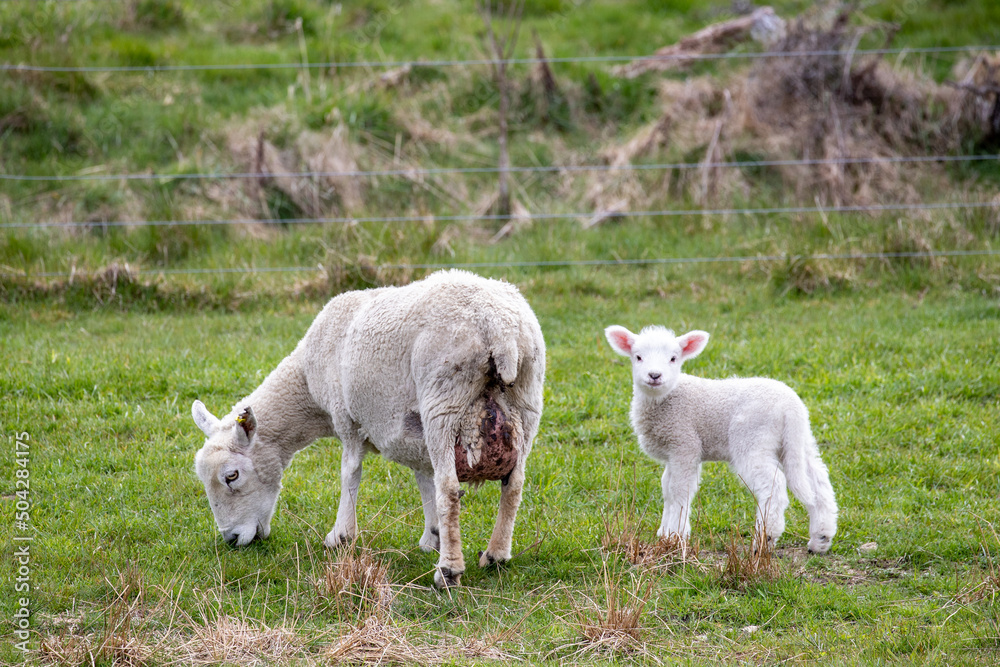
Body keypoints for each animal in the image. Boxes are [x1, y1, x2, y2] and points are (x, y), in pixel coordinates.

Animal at [192, 270, 546, 588]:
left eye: (232, 476)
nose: (231, 539)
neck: (307, 386)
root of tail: (500, 329)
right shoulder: (412, 432)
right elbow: (424, 479)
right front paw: (431, 537)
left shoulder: (346, 416)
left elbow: (351, 472)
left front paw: (341, 535)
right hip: (528, 401)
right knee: (513, 485)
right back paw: (496, 555)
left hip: (443, 399)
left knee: (449, 489)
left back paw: (448, 571)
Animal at [604, 325, 837, 553]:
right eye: (638, 357)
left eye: (673, 358)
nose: (654, 375)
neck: (665, 399)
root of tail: (791, 406)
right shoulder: (674, 451)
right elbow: (666, 488)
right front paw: (664, 533)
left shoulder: (685, 444)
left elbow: (679, 489)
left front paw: (676, 536)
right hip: (798, 441)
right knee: (818, 480)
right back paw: (821, 538)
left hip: (752, 439)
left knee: (774, 486)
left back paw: (765, 540)